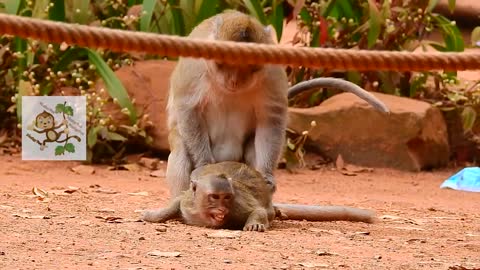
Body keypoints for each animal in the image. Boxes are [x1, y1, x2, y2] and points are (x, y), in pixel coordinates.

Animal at [142, 161, 376, 231]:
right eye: (215, 197)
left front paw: (254, 223)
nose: (222, 210)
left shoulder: (237, 205)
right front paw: (154, 215)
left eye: (227, 198)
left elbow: (256, 210)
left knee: (268, 210)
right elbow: (178, 201)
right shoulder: (188, 202)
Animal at [165, 10, 390, 198]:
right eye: (225, 63)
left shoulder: (271, 70)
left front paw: (266, 175)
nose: (234, 81)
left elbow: (270, 119)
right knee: (181, 150)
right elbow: (189, 109)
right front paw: (204, 165)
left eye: (249, 66)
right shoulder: (194, 67)